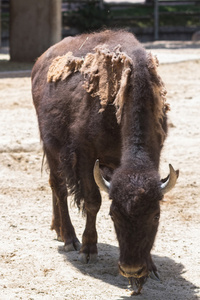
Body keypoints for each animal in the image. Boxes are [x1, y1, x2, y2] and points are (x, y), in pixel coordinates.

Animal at [32, 30, 179, 296]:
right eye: (113, 215)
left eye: (156, 216)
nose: (132, 269)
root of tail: (41, 61)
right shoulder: (86, 155)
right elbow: (92, 202)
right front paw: (88, 249)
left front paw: (150, 268)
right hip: (52, 148)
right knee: (58, 187)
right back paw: (69, 238)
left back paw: (57, 229)